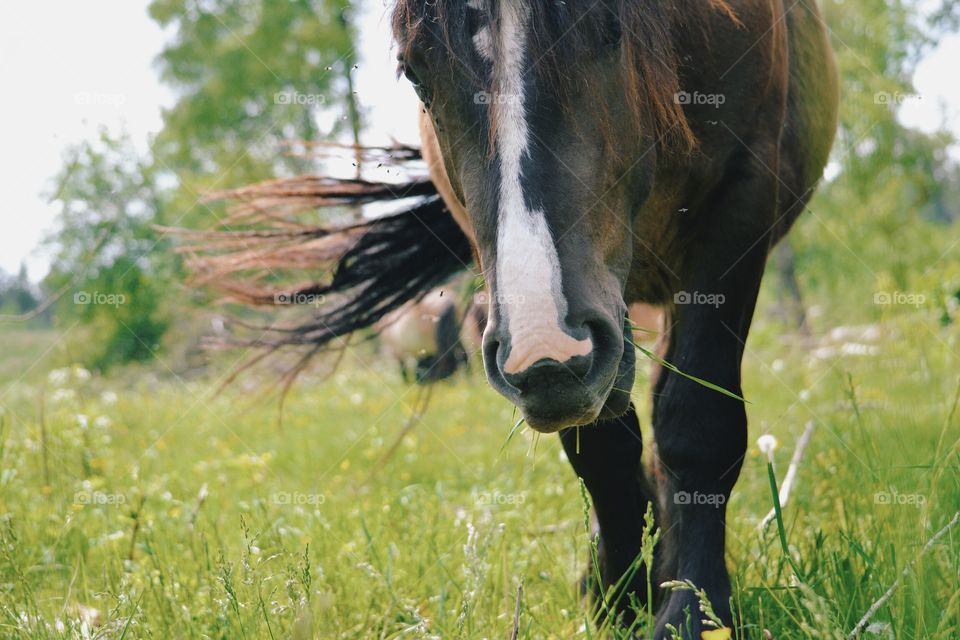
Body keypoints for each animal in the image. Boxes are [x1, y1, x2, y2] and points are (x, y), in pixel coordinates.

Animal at [184, 1, 836, 636]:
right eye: (414, 70)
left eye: (609, 25)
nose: (545, 355)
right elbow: (602, 449)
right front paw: (622, 600)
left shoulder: (740, 209)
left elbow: (698, 424)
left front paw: (692, 613)